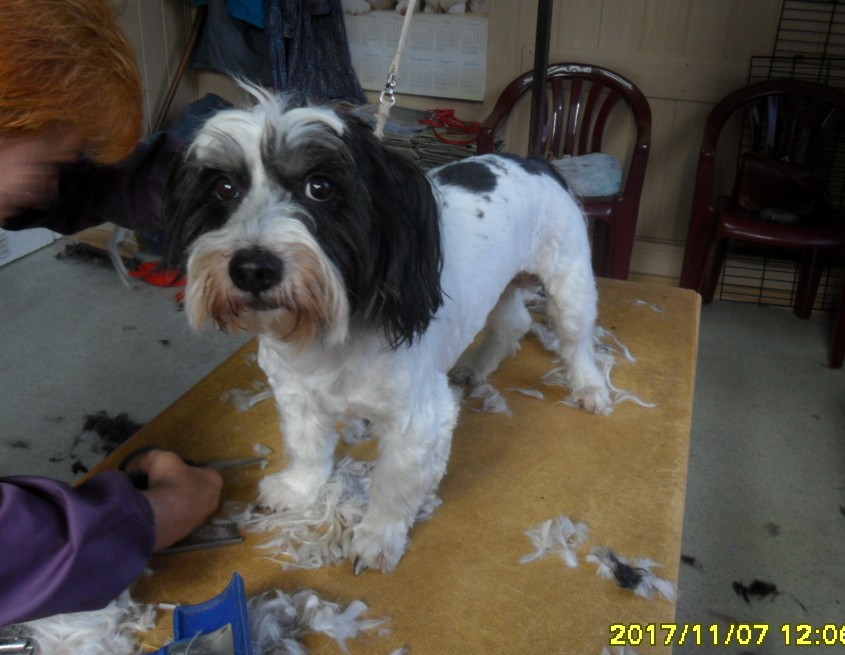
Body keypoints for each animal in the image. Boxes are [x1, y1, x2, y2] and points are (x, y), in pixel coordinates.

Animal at [163, 87, 612, 573]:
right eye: (224, 188)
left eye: (320, 187)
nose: (251, 268)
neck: (329, 334)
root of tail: (537, 162)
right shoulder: (296, 394)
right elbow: (307, 447)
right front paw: (299, 489)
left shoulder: (418, 421)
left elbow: (394, 486)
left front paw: (378, 536)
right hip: (501, 286)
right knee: (513, 322)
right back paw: (476, 366)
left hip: (569, 284)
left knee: (575, 338)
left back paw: (589, 387)